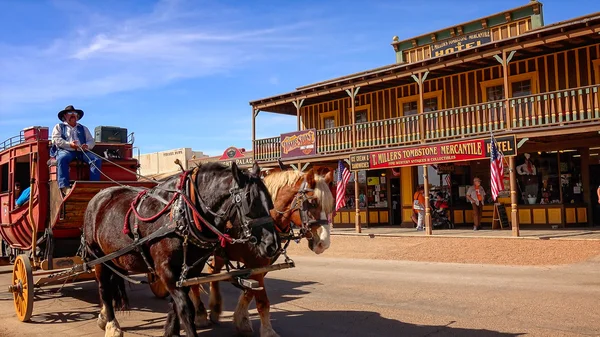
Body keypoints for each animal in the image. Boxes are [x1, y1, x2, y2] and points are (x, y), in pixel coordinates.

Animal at [83, 161, 282, 334]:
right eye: (250, 202)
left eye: (270, 201)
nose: (272, 245)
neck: (182, 215)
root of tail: (98, 196)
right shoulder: (166, 270)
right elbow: (185, 309)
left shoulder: (190, 270)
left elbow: (175, 306)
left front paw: (171, 331)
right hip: (98, 257)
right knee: (104, 289)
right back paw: (111, 325)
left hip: (114, 258)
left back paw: (104, 318)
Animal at [190, 168, 336, 336]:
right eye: (312, 203)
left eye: (330, 204)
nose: (324, 243)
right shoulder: (255, 263)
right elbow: (262, 301)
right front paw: (267, 331)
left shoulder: (261, 265)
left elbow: (250, 291)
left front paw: (241, 320)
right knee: (194, 281)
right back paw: (200, 315)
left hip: (220, 254)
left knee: (213, 273)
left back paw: (214, 308)